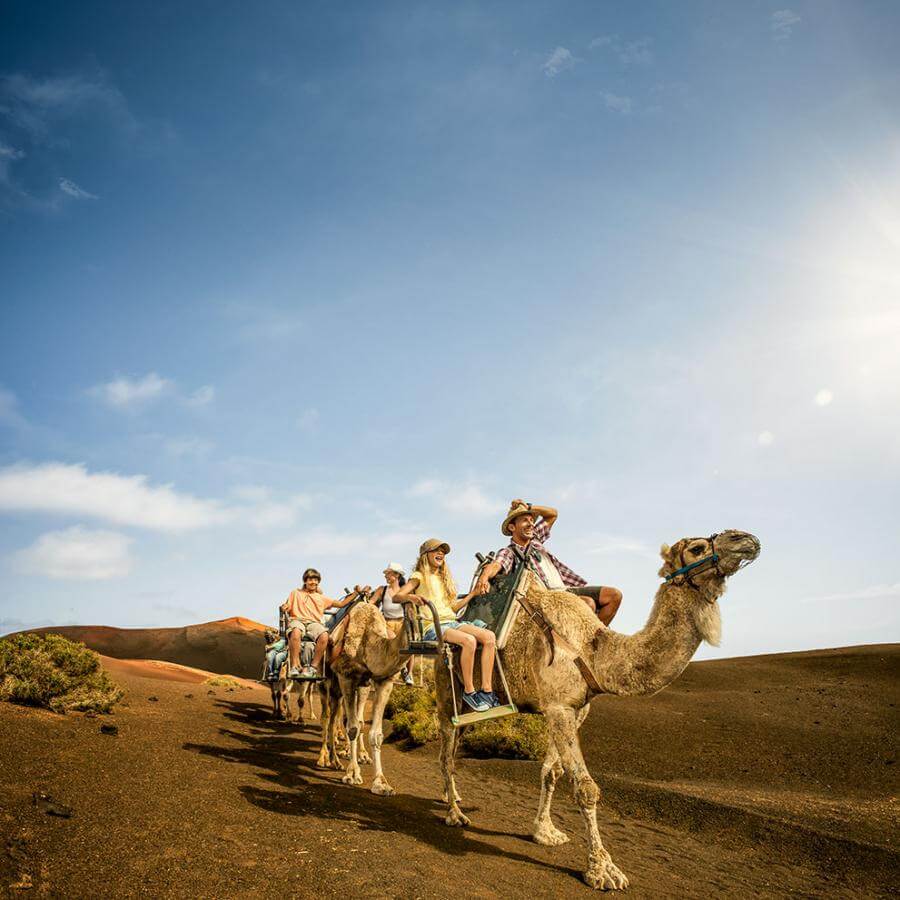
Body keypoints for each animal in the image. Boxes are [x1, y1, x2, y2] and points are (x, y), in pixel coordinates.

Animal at [436, 532, 760, 888]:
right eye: (697, 548)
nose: (747, 540)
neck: (593, 652)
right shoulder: (559, 707)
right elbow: (586, 788)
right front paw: (604, 869)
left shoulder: (575, 709)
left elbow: (552, 772)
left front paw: (545, 832)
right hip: (446, 694)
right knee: (446, 753)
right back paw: (454, 814)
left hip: (468, 711)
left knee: (454, 751)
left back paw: (453, 799)